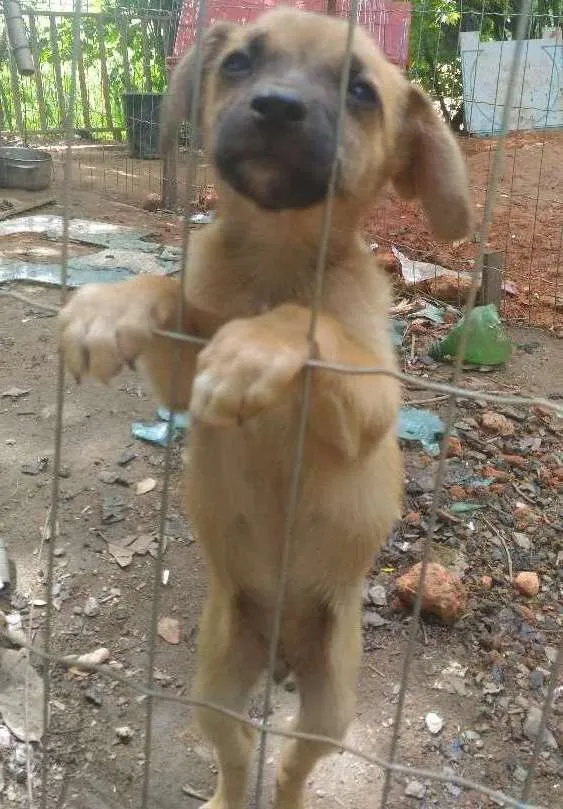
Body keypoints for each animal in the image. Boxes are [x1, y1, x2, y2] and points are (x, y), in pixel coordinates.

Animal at [58, 7, 472, 808]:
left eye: (360, 91)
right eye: (240, 64)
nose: (276, 107)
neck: (277, 261)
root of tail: (281, 653)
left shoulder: (372, 405)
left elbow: (309, 329)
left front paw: (256, 346)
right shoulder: (183, 377)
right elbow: (167, 293)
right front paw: (107, 306)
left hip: (331, 701)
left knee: (290, 764)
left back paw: (288, 792)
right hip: (216, 679)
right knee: (237, 749)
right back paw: (225, 792)